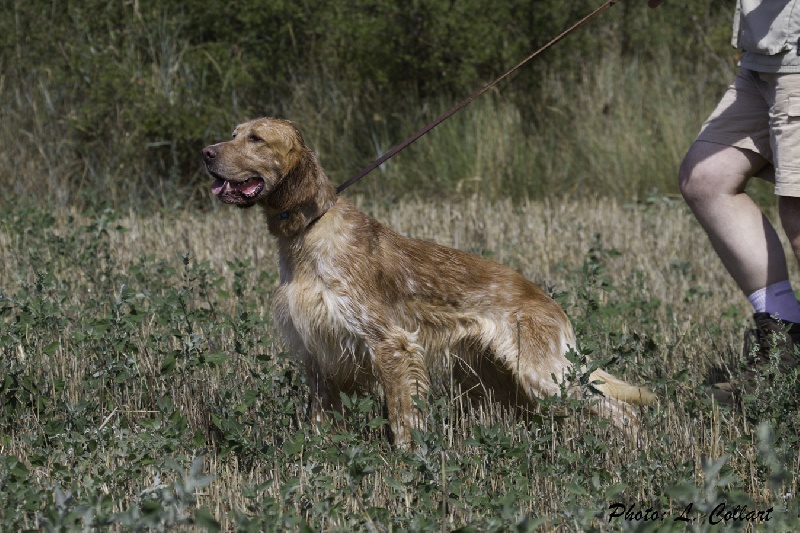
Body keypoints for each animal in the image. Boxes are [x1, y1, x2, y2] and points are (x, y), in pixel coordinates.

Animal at [202, 117, 656, 444]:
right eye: (233, 134)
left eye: (256, 139)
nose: (205, 153)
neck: (307, 234)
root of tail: (549, 302)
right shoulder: (319, 354)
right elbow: (318, 420)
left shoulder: (392, 345)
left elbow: (403, 419)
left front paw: (407, 462)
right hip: (503, 381)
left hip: (543, 376)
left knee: (625, 412)